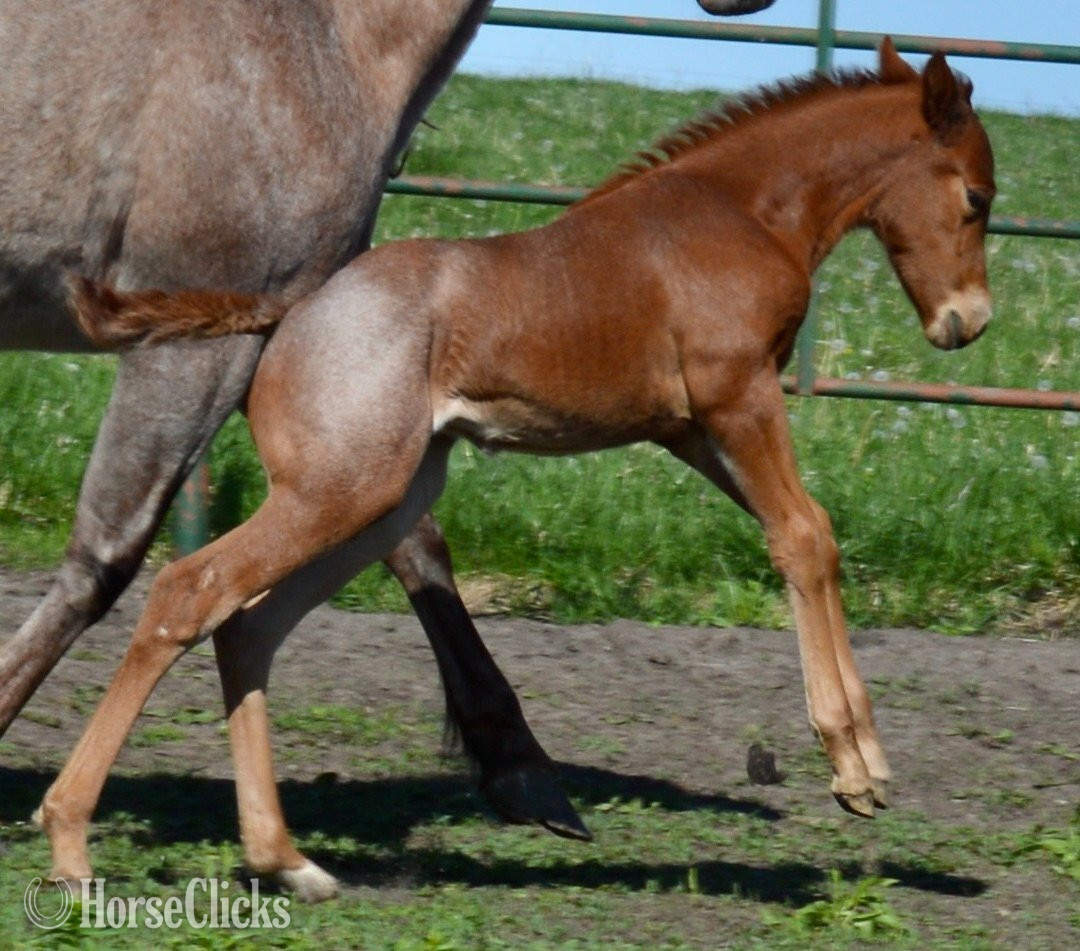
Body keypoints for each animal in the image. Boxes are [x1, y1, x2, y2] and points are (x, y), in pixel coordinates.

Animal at [46, 36, 995, 895]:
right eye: (978, 196)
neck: (743, 210)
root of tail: (287, 310)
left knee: (248, 626)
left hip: (380, 500)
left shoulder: (692, 430)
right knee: (190, 592)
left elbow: (809, 531)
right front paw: (857, 765)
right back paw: (70, 840)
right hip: (336, 493)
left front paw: (859, 761)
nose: (968, 321)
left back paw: (286, 858)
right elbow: (803, 537)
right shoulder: (740, 397)